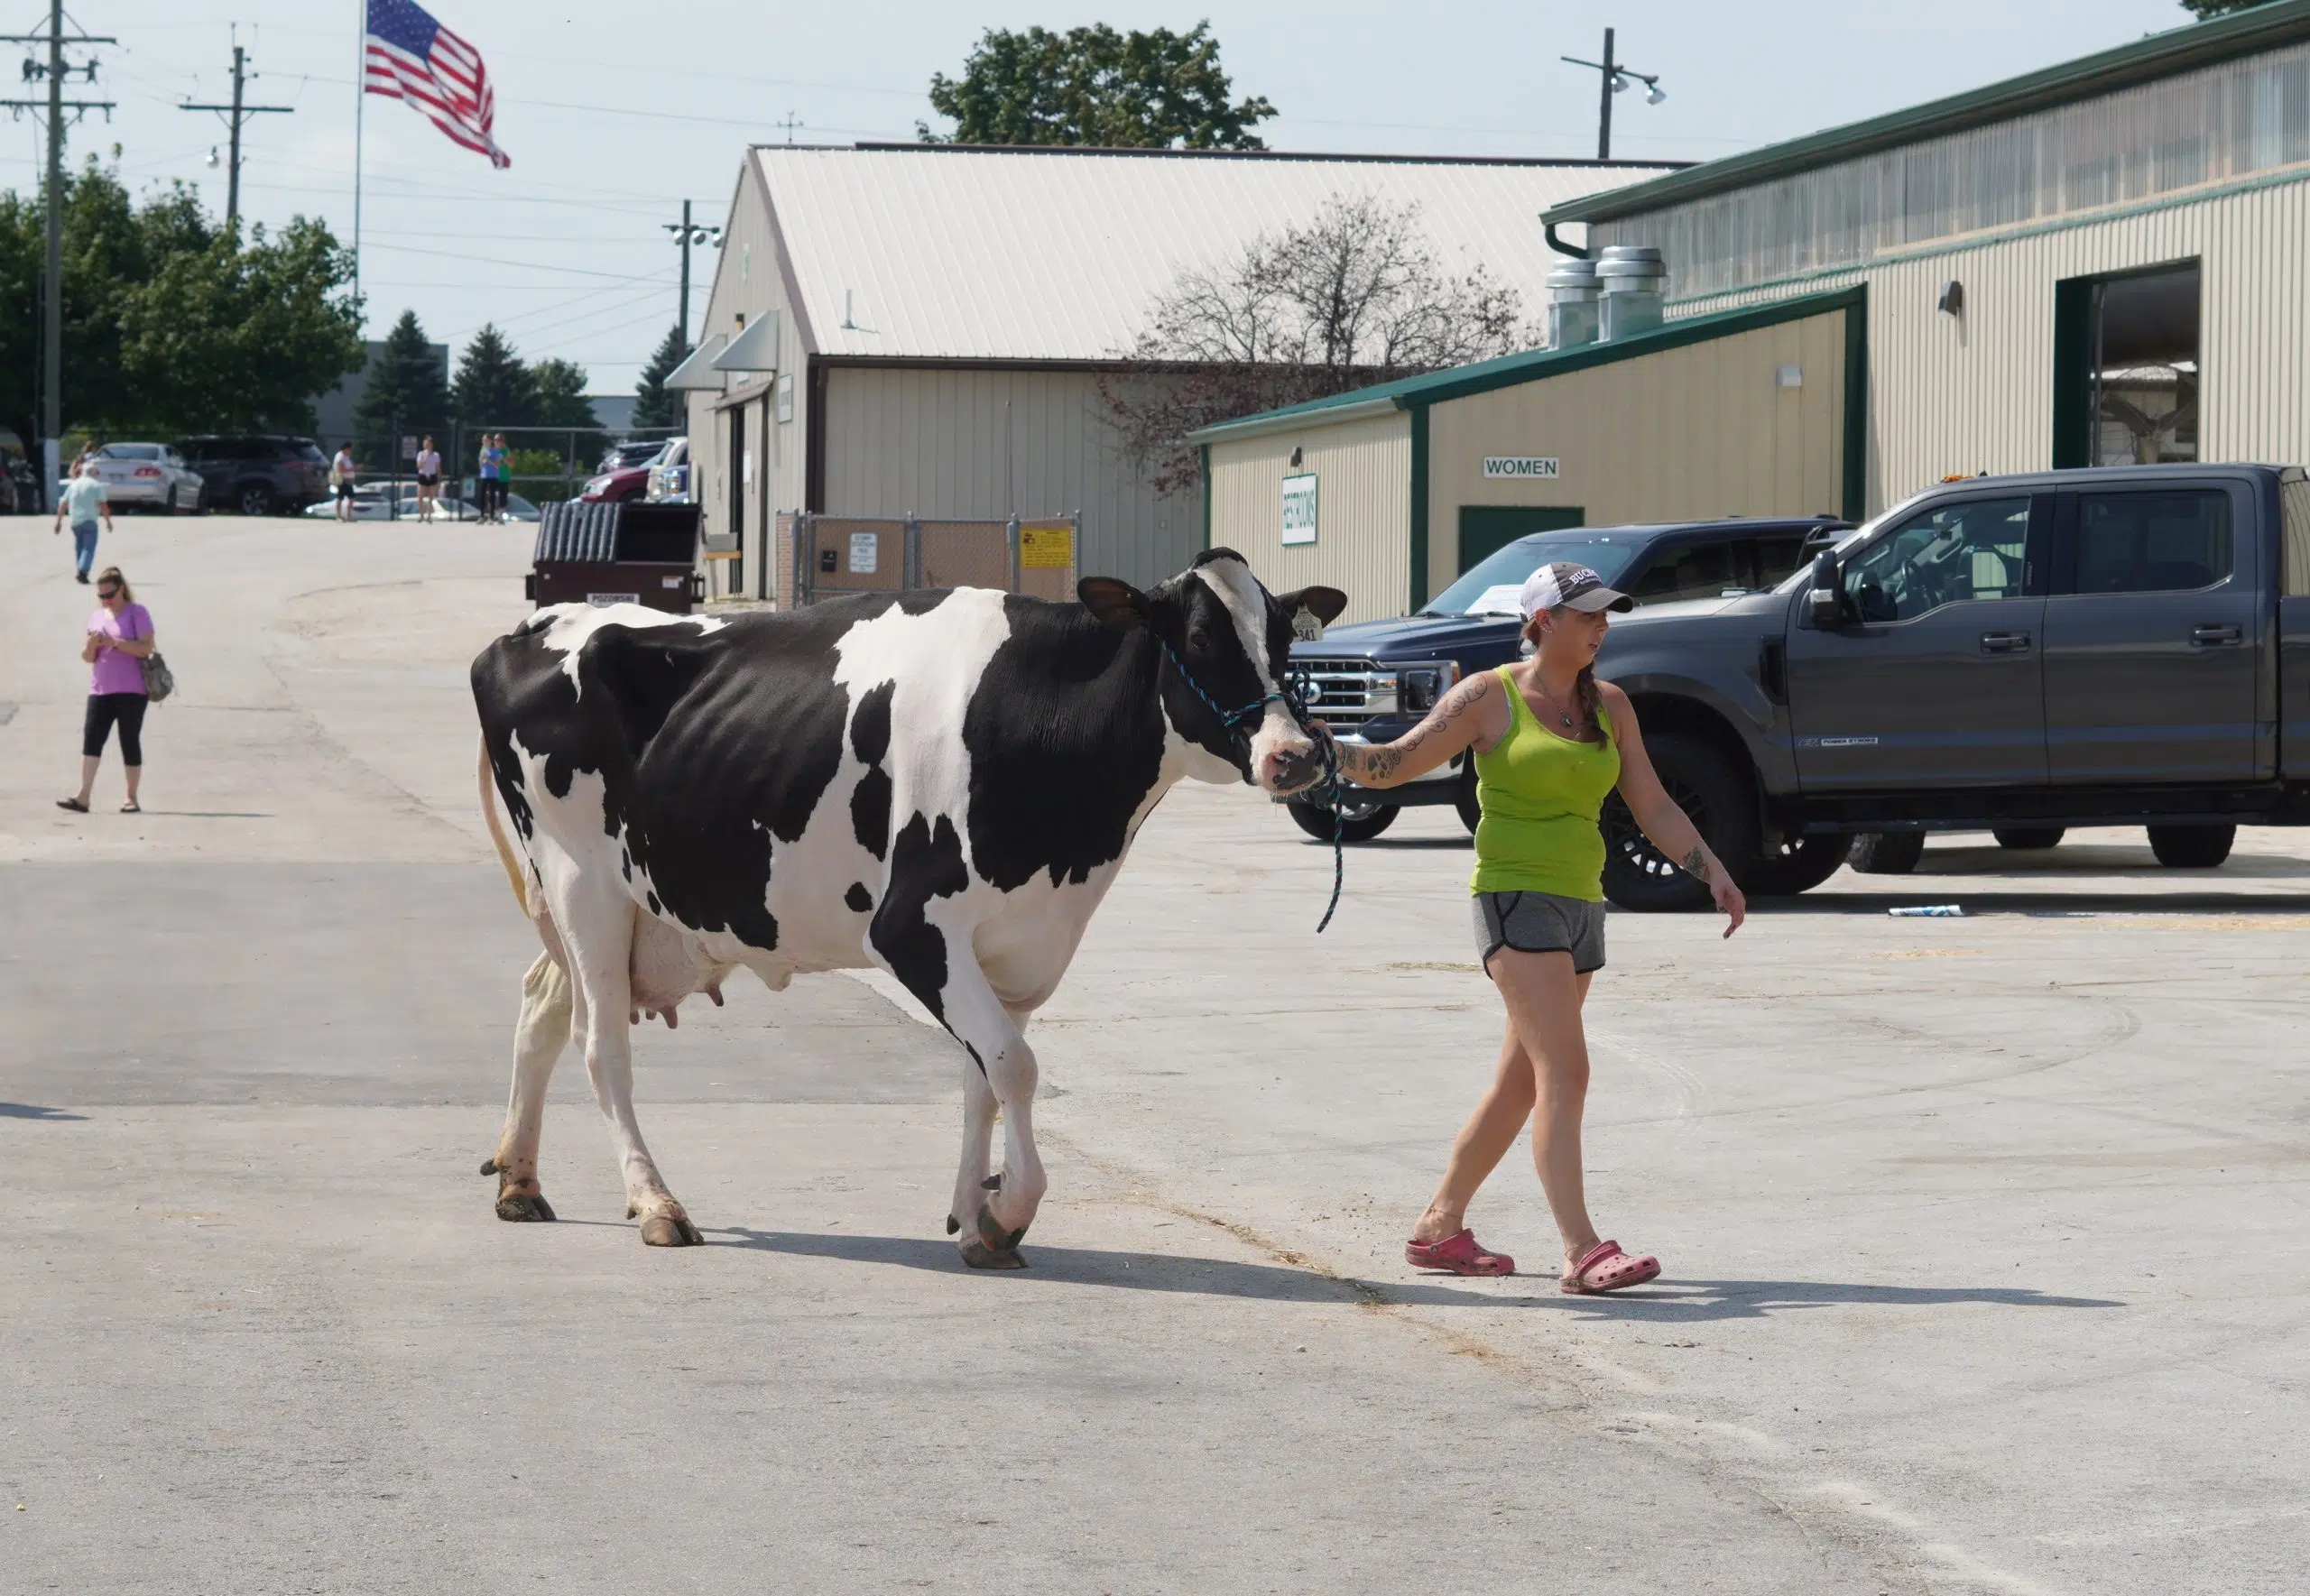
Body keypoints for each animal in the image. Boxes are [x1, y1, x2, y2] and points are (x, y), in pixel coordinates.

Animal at [464, 556, 1349, 1265]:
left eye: (1286, 639)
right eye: (1199, 639)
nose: (1297, 755)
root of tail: (531, 626)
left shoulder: (1017, 940)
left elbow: (982, 1076)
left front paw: (974, 1215)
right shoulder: (914, 926)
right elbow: (1015, 1067)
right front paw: (1008, 1211)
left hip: (608, 907)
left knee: (542, 1002)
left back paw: (520, 1180)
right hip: (583, 884)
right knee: (601, 1045)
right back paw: (656, 1203)